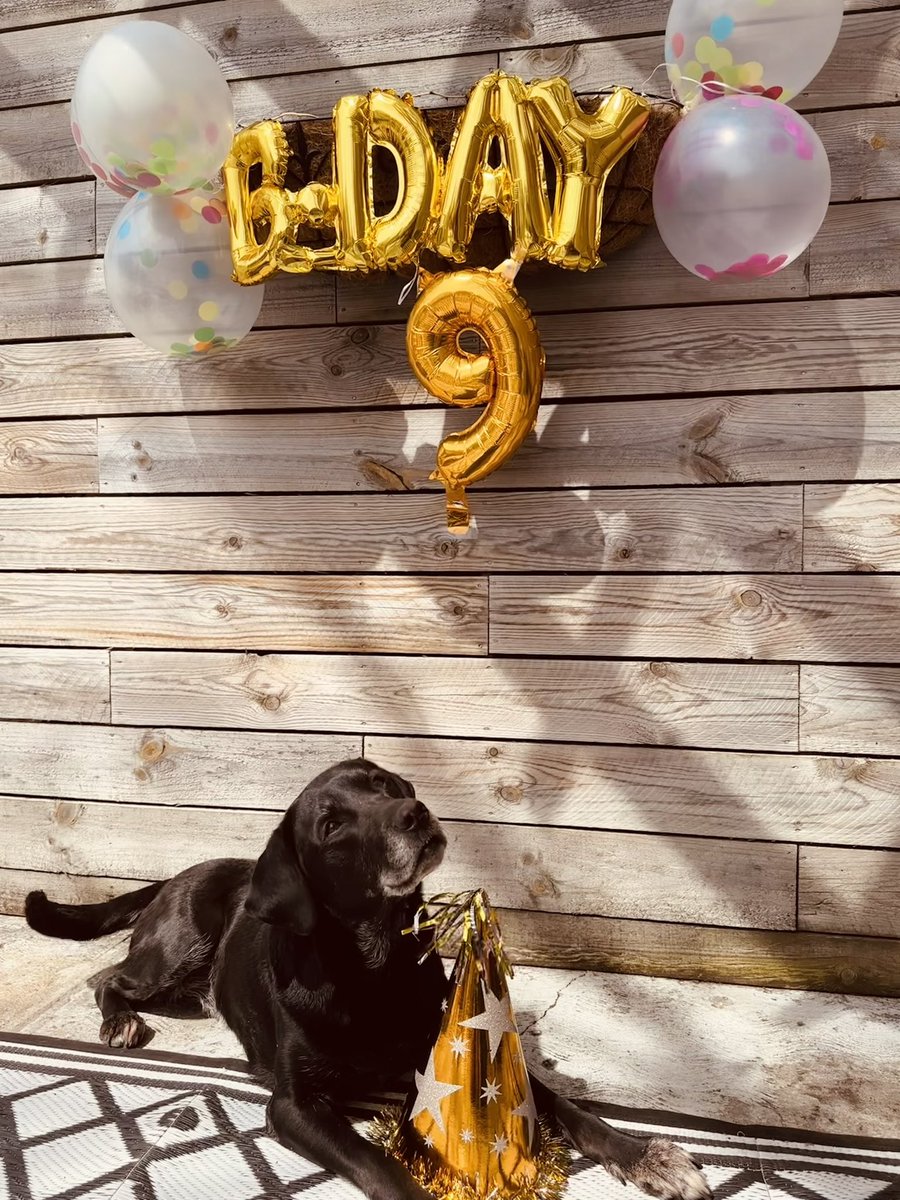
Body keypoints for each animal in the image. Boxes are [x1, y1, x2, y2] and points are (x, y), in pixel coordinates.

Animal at [24, 758, 710, 1200]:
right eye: (331, 824)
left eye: (382, 785)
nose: (415, 810)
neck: (370, 966)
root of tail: (172, 876)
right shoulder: (293, 1106)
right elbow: (380, 1163)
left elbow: (567, 1106)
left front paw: (647, 1156)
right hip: (179, 943)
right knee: (106, 976)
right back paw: (119, 1021)